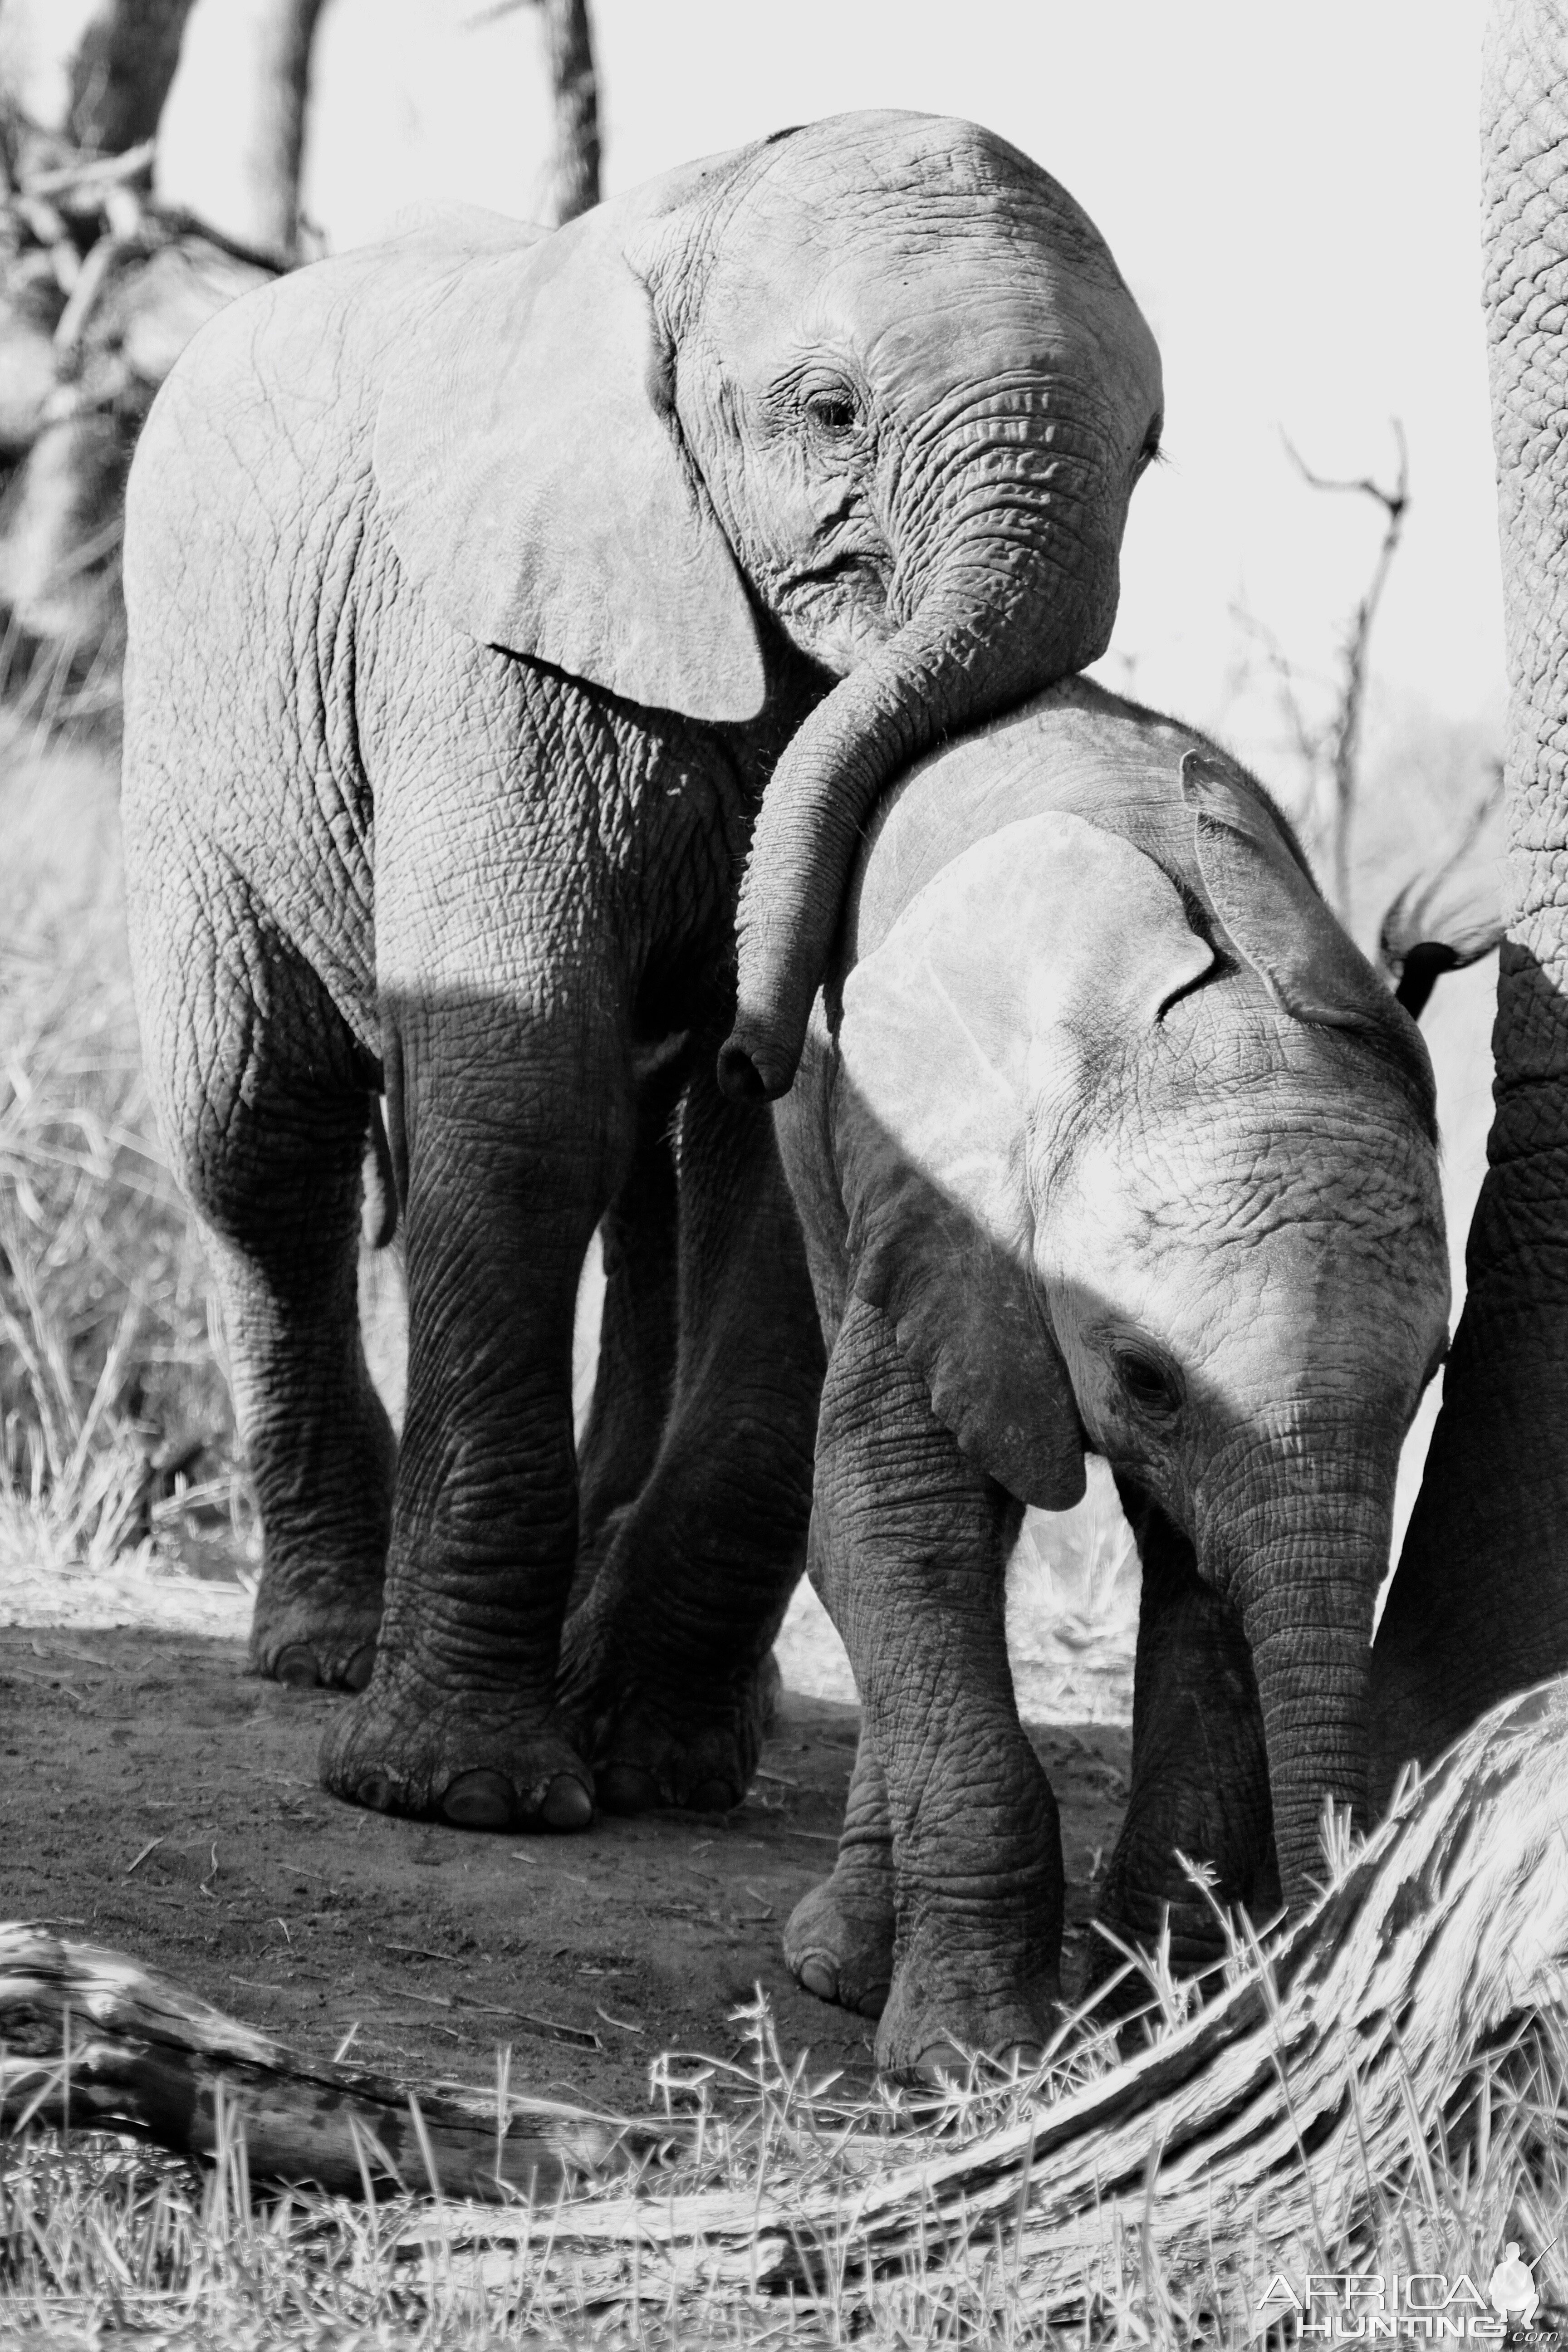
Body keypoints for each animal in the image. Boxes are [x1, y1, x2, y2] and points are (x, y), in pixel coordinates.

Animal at [780, 677, 1457, 2079]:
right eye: (1143, 1377)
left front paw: (1151, 2015)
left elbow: (1209, 1583)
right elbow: (887, 1518)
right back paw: (840, 1969)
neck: (1229, 1027)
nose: (1304, 1993)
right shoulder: (941, 1194)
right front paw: (970, 2063)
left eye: (1432, 1376)